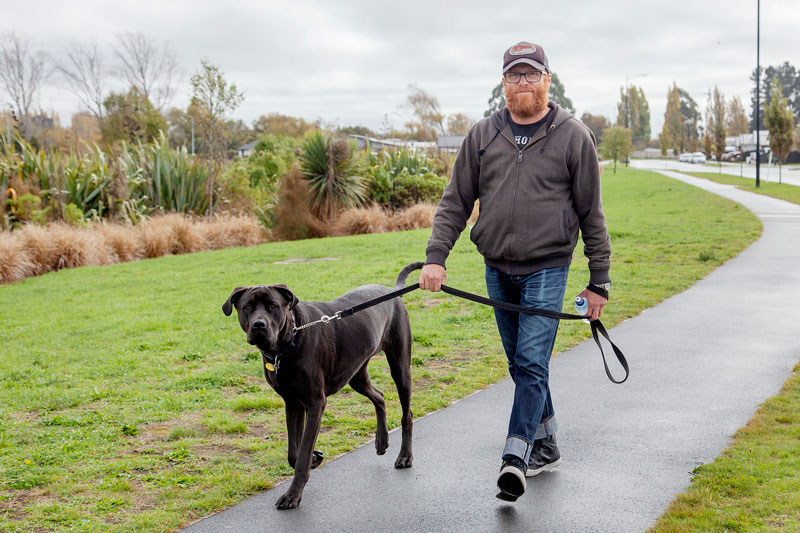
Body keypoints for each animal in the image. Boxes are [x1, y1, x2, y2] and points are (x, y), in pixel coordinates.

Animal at [222, 264, 422, 510]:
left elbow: (302, 453)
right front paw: (314, 459)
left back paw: (405, 456)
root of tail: (392, 291)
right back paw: (381, 441)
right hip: (356, 375)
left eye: (273, 306)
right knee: (380, 396)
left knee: (407, 414)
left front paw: (292, 495)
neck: (286, 344)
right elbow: (294, 452)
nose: (259, 325)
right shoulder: (292, 402)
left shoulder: (315, 403)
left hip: (399, 366)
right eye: (248, 307)